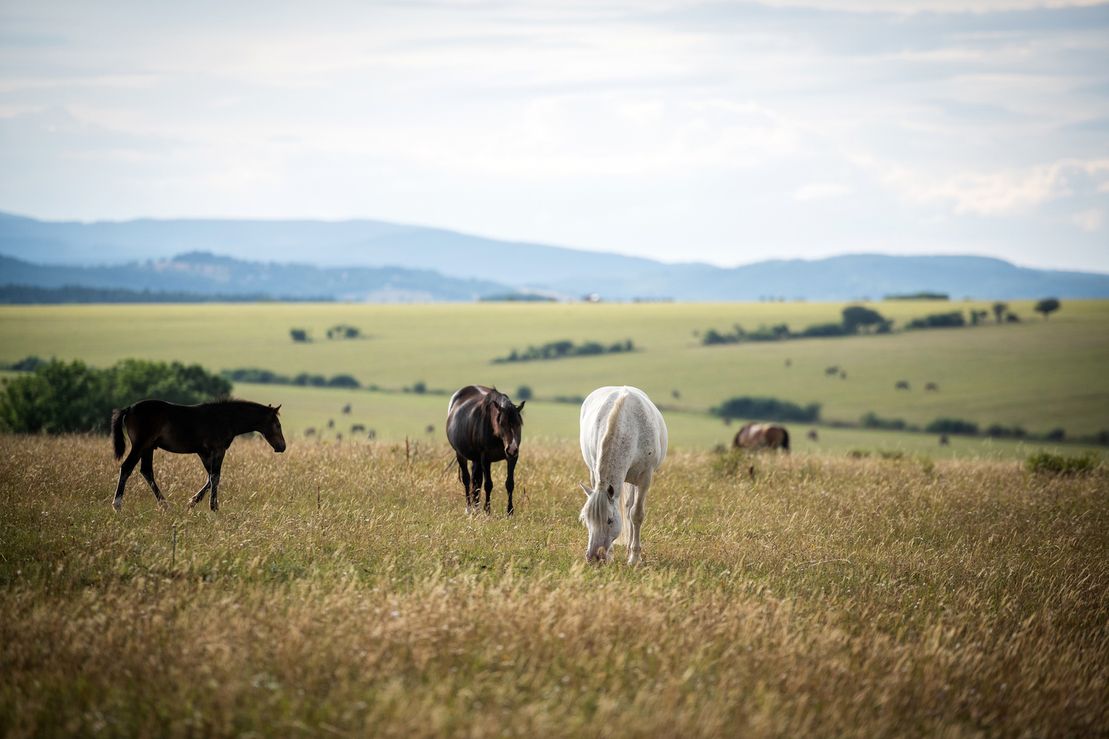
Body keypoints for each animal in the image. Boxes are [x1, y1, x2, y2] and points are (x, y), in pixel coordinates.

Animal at [110, 399, 286, 510]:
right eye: (277, 425)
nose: (282, 447)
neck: (226, 418)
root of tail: (128, 409)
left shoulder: (204, 453)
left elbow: (210, 477)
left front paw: (192, 502)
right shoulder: (218, 450)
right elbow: (215, 476)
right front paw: (213, 507)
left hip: (148, 448)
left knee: (146, 471)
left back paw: (165, 505)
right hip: (140, 445)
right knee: (127, 468)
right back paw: (117, 505)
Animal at [581, 386, 665, 563]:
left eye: (610, 520)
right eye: (586, 519)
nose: (593, 557)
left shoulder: (645, 478)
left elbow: (636, 514)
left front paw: (634, 558)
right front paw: (610, 556)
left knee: (629, 509)